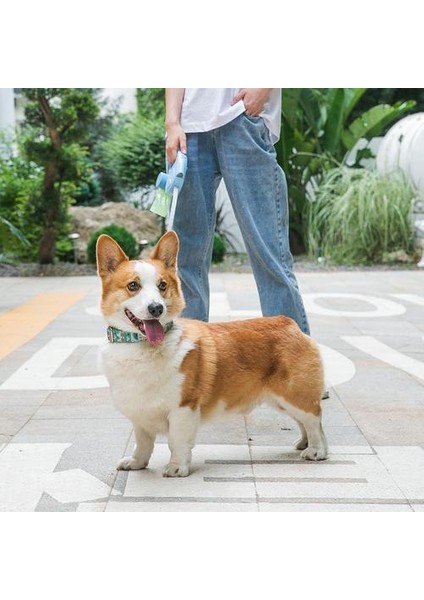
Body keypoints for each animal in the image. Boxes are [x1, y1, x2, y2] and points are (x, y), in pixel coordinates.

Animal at [97, 231, 328, 478]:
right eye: (133, 286)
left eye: (162, 285)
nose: (156, 309)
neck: (141, 349)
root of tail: (290, 324)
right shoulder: (140, 416)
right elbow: (142, 444)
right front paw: (136, 463)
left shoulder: (183, 408)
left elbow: (177, 442)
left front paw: (177, 467)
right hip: (281, 400)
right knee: (304, 421)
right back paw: (303, 443)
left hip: (294, 395)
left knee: (315, 419)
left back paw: (316, 450)